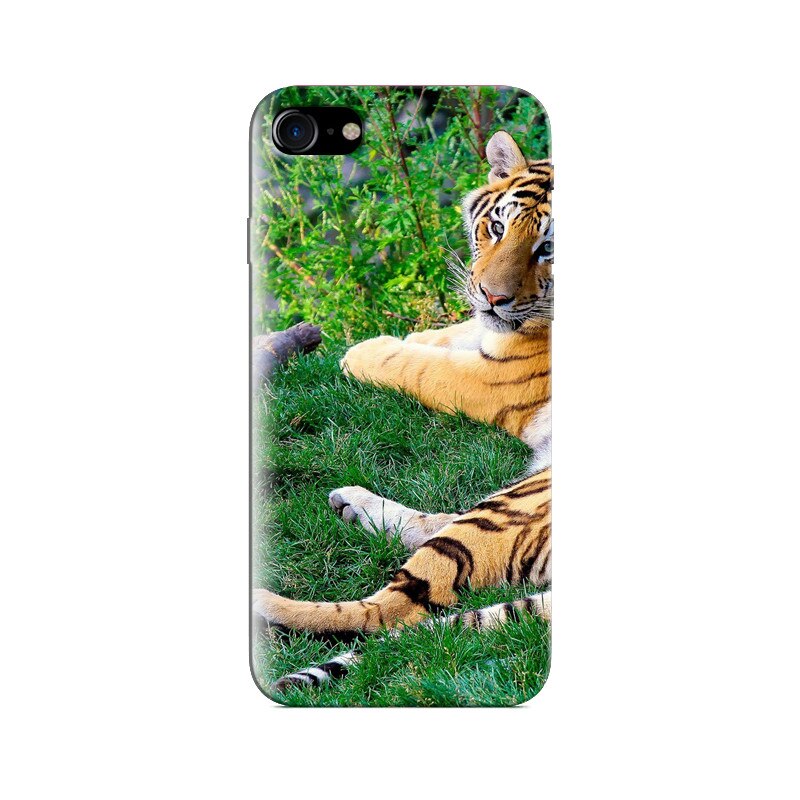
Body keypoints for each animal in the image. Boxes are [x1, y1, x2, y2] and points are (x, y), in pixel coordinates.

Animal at [253, 130, 554, 694]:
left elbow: (418, 366)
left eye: (548, 247)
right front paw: (421, 335)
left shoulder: (492, 378)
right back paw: (350, 503)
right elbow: (451, 334)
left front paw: (362, 352)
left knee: (389, 613)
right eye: (497, 227)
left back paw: (263, 603)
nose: (493, 296)